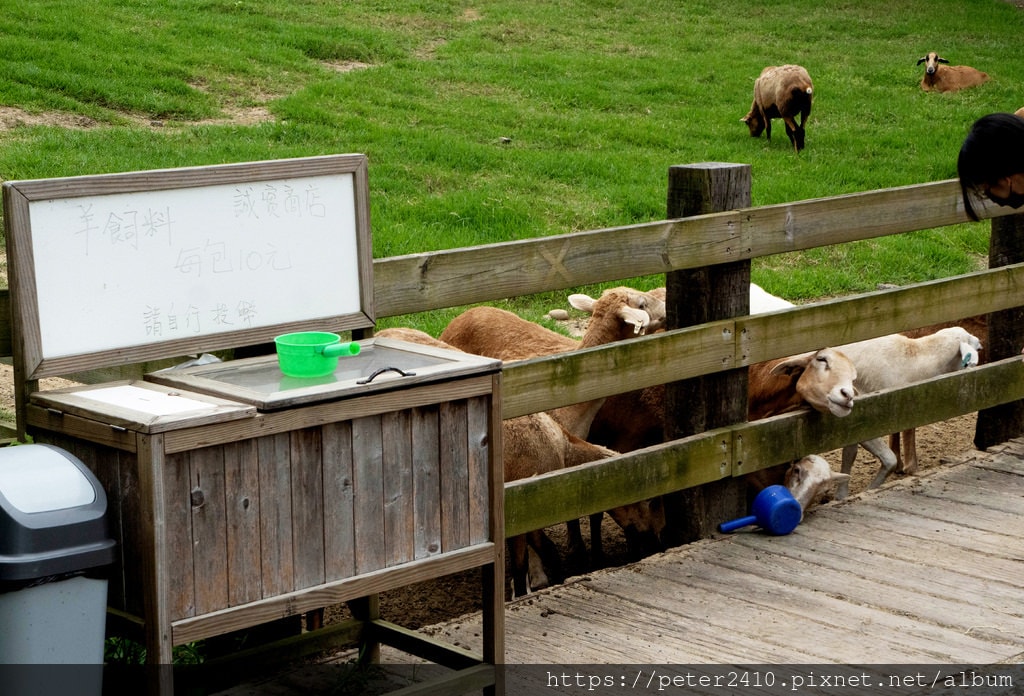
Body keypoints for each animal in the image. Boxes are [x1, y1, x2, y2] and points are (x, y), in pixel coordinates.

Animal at [831, 323, 983, 497]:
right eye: (975, 346)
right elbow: (891, 453)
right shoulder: (867, 419)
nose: (981, 343)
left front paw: (842, 494)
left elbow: (851, 453)